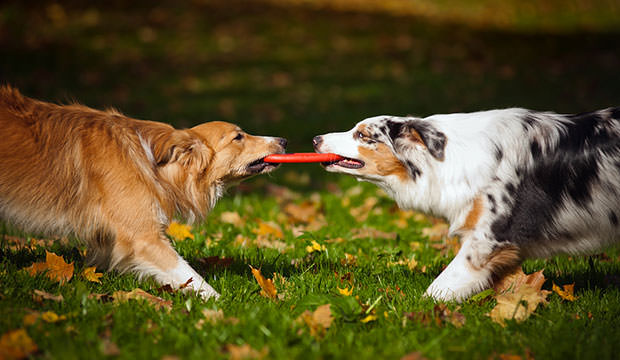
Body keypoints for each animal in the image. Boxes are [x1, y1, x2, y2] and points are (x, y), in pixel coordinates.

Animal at [0, 86, 286, 298]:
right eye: (238, 137)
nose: (283, 140)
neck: (154, 163)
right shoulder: (142, 236)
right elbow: (188, 274)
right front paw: (220, 304)